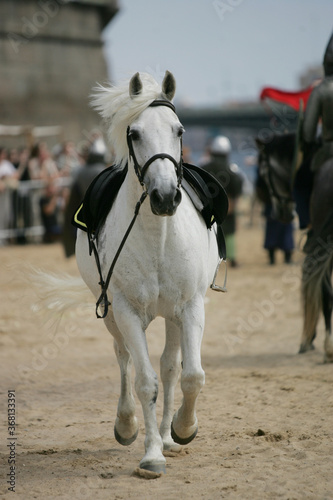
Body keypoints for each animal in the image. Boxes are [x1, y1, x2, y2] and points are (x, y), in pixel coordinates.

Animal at [74, 71, 222, 472]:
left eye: (180, 130)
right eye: (135, 133)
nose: (165, 196)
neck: (158, 236)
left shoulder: (191, 306)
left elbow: (191, 375)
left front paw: (183, 429)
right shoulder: (125, 309)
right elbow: (145, 382)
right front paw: (151, 454)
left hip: (171, 315)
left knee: (170, 367)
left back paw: (170, 436)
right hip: (114, 313)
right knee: (124, 358)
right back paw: (127, 425)